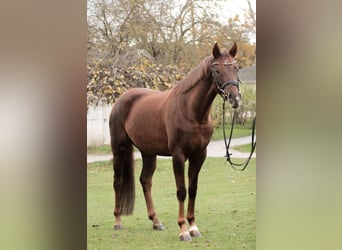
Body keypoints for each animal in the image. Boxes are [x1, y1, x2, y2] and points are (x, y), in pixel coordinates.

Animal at [109, 42, 240, 240]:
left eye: (236, 68)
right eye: (217, 70)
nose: (235, 98)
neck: (192, 112)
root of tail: (121, 100)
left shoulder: (199, 155)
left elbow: (193, 189)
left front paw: (193, 227)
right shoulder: (178, 155)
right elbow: (181, 191)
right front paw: (183, 230)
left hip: (148, 153)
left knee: (145, 181)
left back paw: (156, 222)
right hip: (120, 149)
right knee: (118, 181)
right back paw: (117, 221)